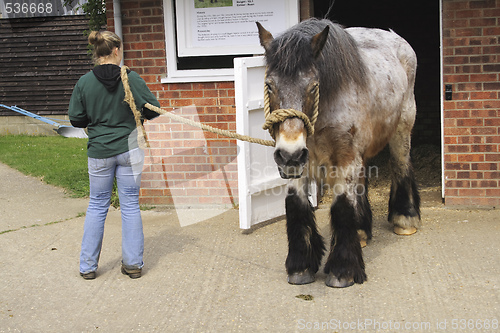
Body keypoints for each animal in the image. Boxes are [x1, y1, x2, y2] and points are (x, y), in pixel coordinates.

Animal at [258, 18, 422, 286]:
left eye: (313, 86)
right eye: (269, 85)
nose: (289, 154)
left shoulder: (343, 157)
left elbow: (343, 205)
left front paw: (342, 270)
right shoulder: (300, 162)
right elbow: (296, 203)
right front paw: (301, 267)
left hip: (402, 126)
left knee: (401, 164)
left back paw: (404, 218)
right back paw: (362, 231)